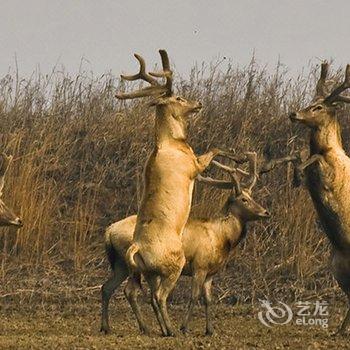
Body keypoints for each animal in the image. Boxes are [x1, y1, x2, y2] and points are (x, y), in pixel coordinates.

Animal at [101, 152, 298, 334]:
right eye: (244, 199)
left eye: (253, 196)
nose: (266, 212)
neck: (222, 239)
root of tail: (109, 231)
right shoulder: (199, 266)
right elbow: (194, 296)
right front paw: (184, 327)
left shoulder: (211, 272)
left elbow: (208, 299)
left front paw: (210, 330)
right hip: (135, 266)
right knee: (133, 292)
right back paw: (150, 328)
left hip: (121, 264)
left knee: (108, 287)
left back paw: (108, 327)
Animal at [111, 49, 238, 336]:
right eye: (178, 98)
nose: (198, 103)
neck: (174, 143)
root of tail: (137, 247)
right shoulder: (192, 165)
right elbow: (214, 150)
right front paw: (238, 158)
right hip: (174, 265)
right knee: (159, 296)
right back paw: (171, 329)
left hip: (149, 272)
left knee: (147, 295)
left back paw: (159, 328)